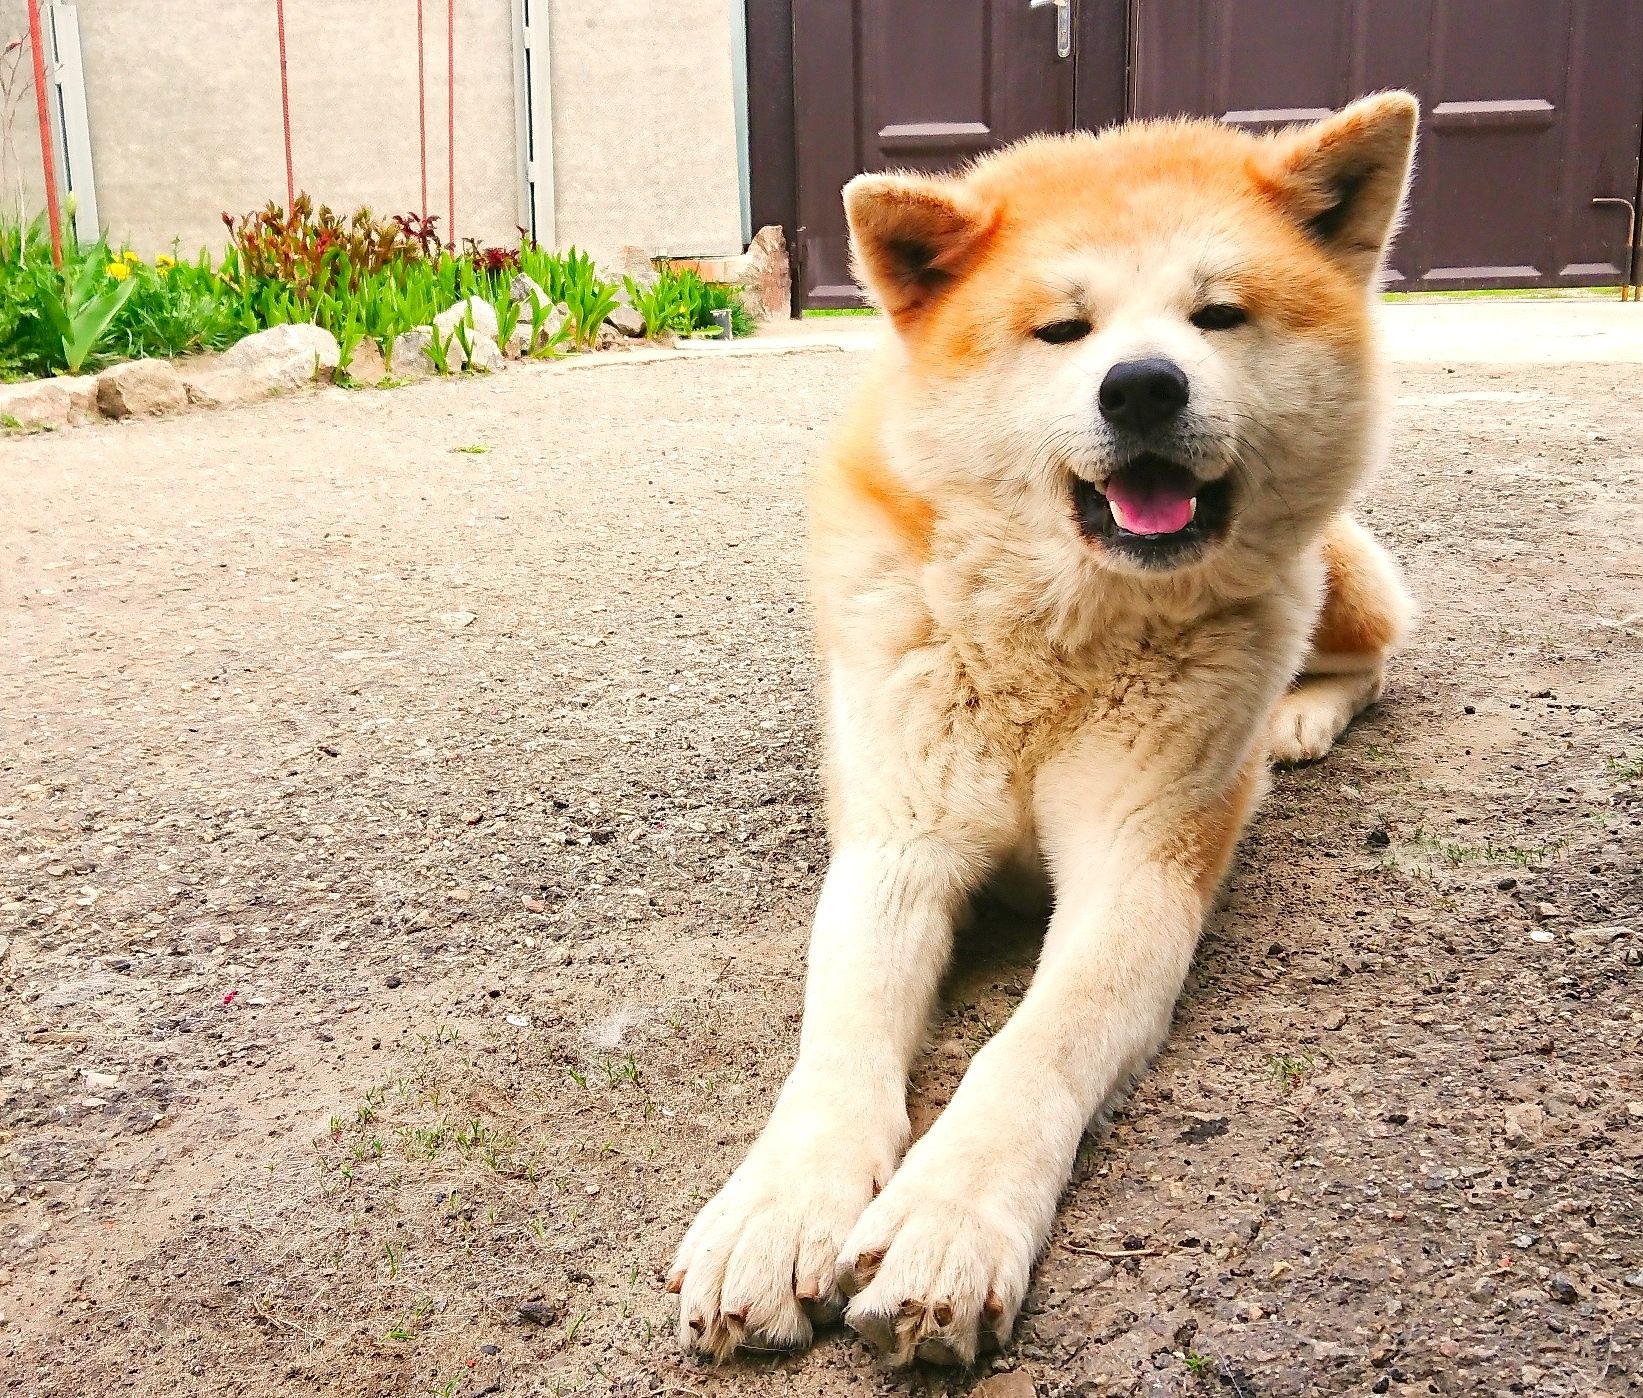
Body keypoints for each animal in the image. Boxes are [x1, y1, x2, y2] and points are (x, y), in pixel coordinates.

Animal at [670, 95, 1426, 1366]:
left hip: (1330, 578)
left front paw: (945, 1219)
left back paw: (1300, 718)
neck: (1056, 643)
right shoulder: (896, 849)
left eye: (1217, 314)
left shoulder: (1138, 869)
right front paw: (776, 1208)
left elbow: (1029, 1050)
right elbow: (837, 1041)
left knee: (1368, 654)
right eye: (1060, 331)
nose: (1142, 387)